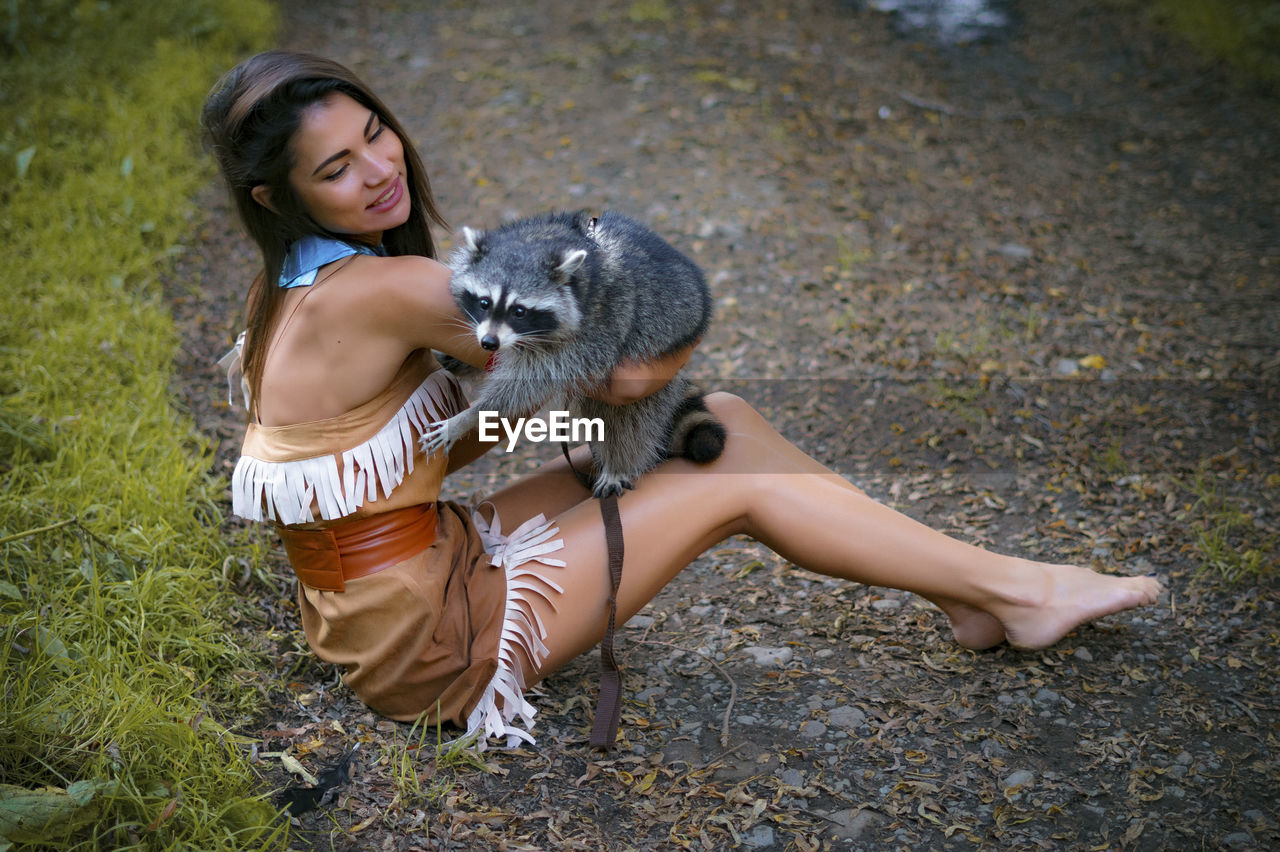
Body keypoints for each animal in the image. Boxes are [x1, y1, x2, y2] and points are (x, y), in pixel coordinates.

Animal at [422, 208, 732, 493]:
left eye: (519, 311)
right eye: (484, 302)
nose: (489, 343)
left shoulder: (599, 325)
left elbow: (529, 383)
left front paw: (470, 417)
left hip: (653, 357)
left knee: (627, 416)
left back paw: (619, 464)